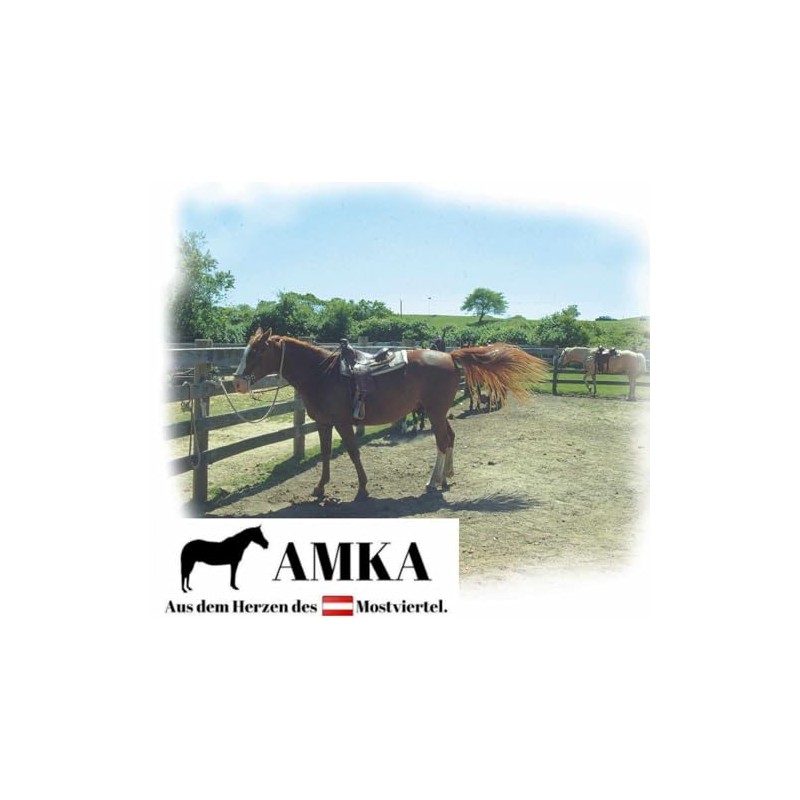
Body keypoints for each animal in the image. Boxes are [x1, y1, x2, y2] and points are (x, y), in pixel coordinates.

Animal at [233, 328, 549, 498]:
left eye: (257, 352)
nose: (236, 382)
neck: (322, 374)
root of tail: (450, 356)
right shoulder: (324, 424)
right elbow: (325, 454)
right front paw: (320, 488)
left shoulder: (343, 423)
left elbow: (353, 452)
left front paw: (362, 488)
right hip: (439, 413)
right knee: (450, 438)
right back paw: (446, 477)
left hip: (435, 412)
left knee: (442, 442)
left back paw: (432, 481)